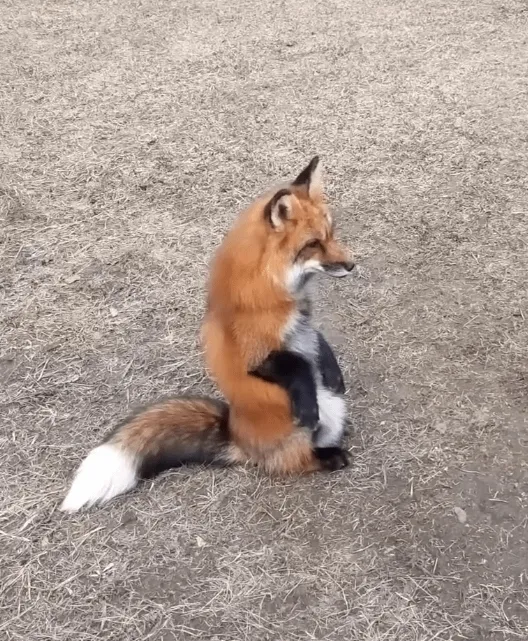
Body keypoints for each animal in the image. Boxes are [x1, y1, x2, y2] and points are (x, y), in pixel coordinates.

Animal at [60, 157, 355, 512]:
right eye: (313, 244)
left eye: (331, 234)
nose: (352, 265)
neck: (274, 292)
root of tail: (233, 433)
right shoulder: (255, 354)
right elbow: (295, 366)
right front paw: (307, 400)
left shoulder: (305, 325)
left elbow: (320, 345)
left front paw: (333, 372)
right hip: (302, 429)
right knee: (290, 463)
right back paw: (328, 457)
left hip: (335, 406)